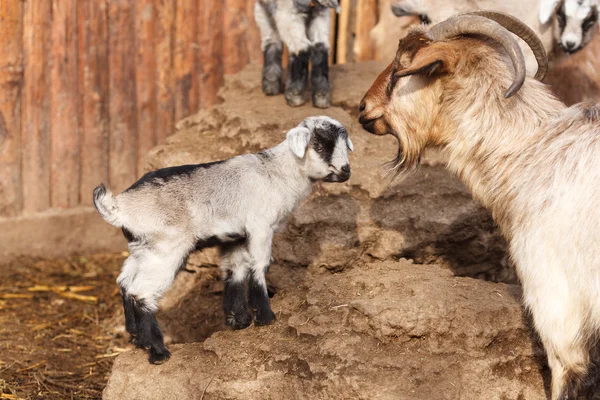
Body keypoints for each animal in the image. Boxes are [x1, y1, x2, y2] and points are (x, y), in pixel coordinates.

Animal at [92, 115, 352, 362]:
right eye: (319, 145)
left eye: (344, 144)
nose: (346, 170)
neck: (278, 172)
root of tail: (119, 208)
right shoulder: (260, 226)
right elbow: (259, 265)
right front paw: (265, 317)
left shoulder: (235, 236)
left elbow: (235, 270)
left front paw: (239, 320)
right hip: (165, 249)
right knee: (142, 292)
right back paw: (158, 352)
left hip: (141, 249)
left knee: (125, 283)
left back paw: (137, 338)